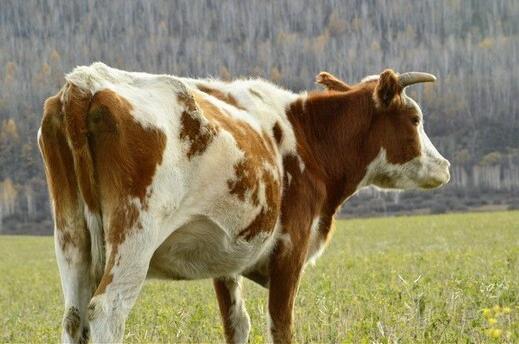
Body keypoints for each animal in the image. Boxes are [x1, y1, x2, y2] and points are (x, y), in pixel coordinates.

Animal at [37, 62, 450, 344]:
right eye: (415, 118)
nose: (444, 166)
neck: (307, 136)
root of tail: (87, 82)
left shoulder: (226, 257)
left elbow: (237, 324)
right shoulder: (290, 249)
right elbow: (280, 325)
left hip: (71, 238)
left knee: (74, 317)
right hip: (135, 234)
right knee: (107, 310)